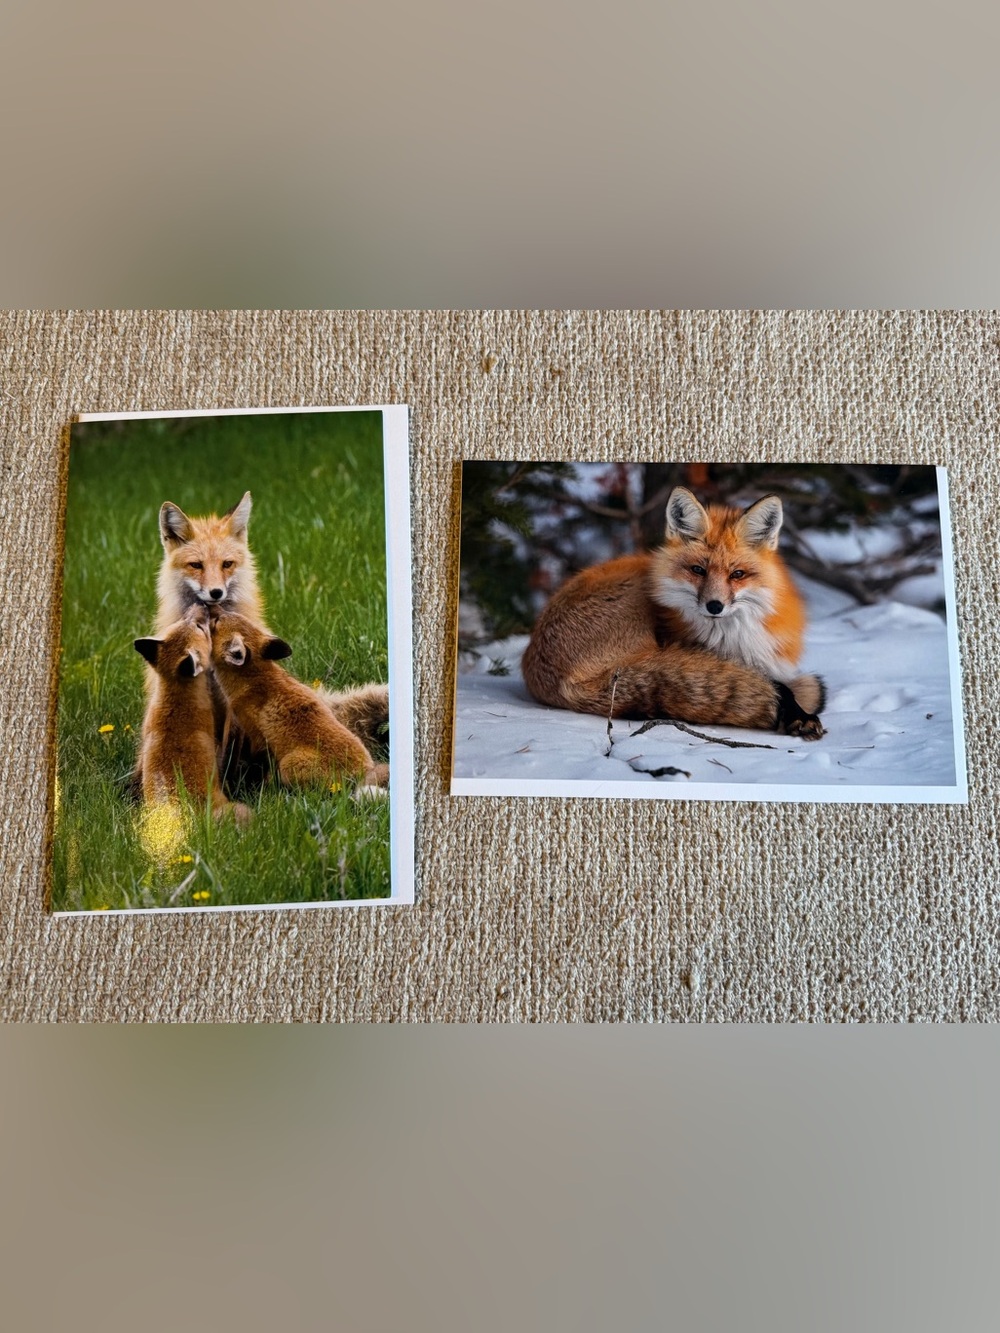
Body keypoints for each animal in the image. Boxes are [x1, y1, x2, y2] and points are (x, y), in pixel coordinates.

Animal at [208, 610, 390, 791]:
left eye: (216, 622)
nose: (214, 610)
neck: (253, 680)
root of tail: (365, 772)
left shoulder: (255, 737)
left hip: (288, 766)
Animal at [521, 486, 826, 739]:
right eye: (698, 570)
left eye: (737, 574)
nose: (714, 606)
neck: (733, 636)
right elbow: (779, 685)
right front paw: (799, 713)